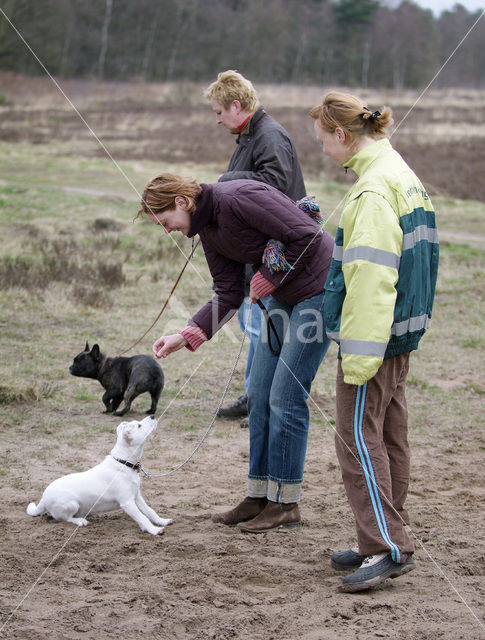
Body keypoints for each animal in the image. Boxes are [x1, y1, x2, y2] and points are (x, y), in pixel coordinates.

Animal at [26, 416, 172, 536]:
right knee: (64, 518)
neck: (124, 463)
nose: (152, 415)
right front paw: (154, 530)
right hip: (71, 504)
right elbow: (143, 517)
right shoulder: (127, 502)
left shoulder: (137, 497)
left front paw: (162, 521)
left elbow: (149, 511)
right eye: (139, 426)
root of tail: (43, 499)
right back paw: (80, 521)